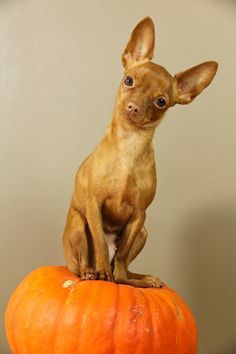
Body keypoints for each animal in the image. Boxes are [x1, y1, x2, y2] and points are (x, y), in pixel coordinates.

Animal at [62, 17, 218, 288]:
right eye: (129, 81)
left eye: (161, 102)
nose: (133, 107)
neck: (130, 145)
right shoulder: (93, 205)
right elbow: (100, 243)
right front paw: (103, 274)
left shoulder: (139, 215)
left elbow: (122, 256)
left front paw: (123, 280)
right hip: (79, 225)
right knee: (81, 263)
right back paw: (92, 272)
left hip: (143, 232)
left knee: (123, 265)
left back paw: (138, 279)